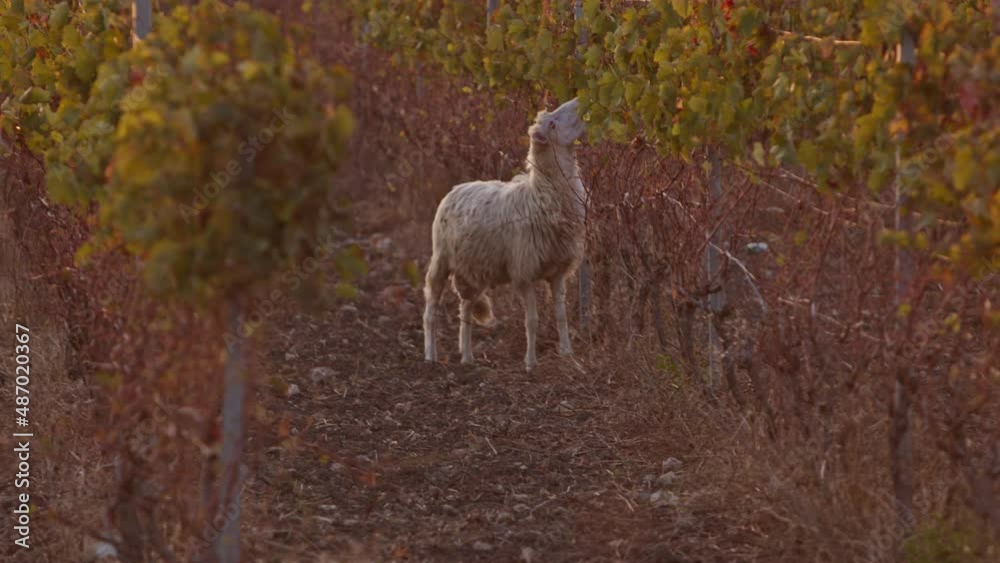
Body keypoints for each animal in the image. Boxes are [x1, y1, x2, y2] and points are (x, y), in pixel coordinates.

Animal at [422, 98, 587, 371]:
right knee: (431, 308)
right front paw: (530, 362)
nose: (580, 101)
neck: (541, 194)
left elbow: (561, 315)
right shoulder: (524, 272)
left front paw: (566, 353)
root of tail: (457, 187)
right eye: (552, 123)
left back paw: (467, 356)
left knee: (465, 309)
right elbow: (532, 320)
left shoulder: (557, 271)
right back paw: (430, 355)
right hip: (441, 259)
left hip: (472, 269)